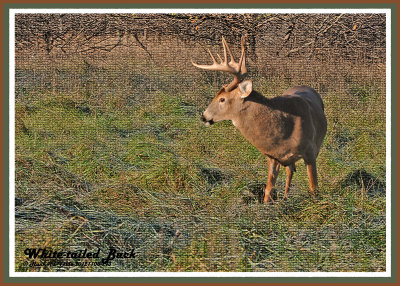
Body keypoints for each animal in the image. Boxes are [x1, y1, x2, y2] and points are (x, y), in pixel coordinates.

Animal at [192, 36, 326, 203]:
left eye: (222, 99)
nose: (203, 116)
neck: (285, 128)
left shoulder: (310, 152)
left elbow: (314, 188)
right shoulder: (272, 156)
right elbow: (268, 189)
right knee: (290, 171)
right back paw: (285, 197)